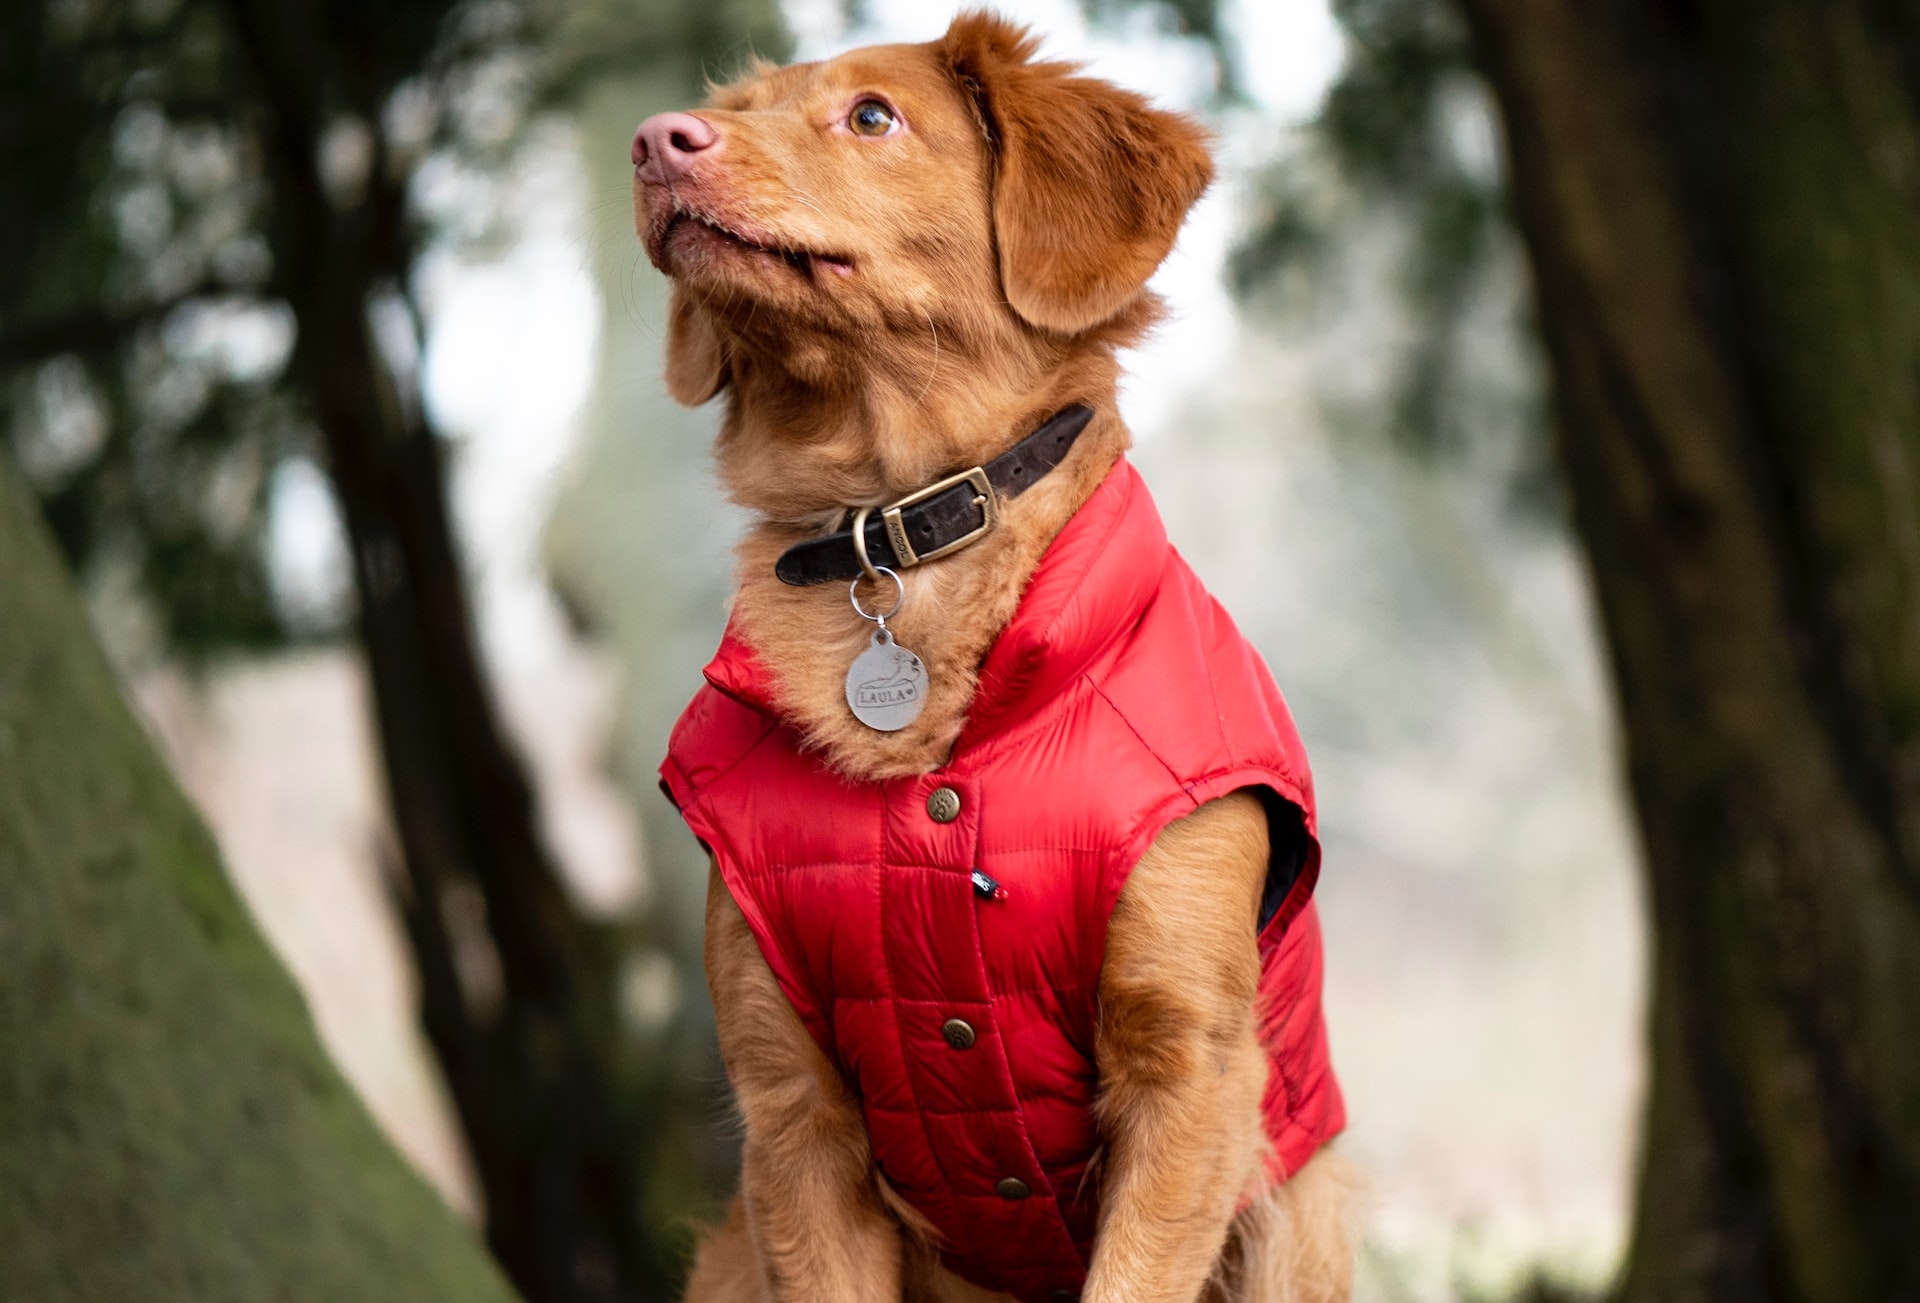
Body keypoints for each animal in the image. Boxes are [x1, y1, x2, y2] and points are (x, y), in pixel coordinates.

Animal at [637, 12, 1359, 1303]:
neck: (895, 531)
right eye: (738, 108)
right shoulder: (790, 1109)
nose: (654, 141)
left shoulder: (1191, 1077)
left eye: (871, 116)